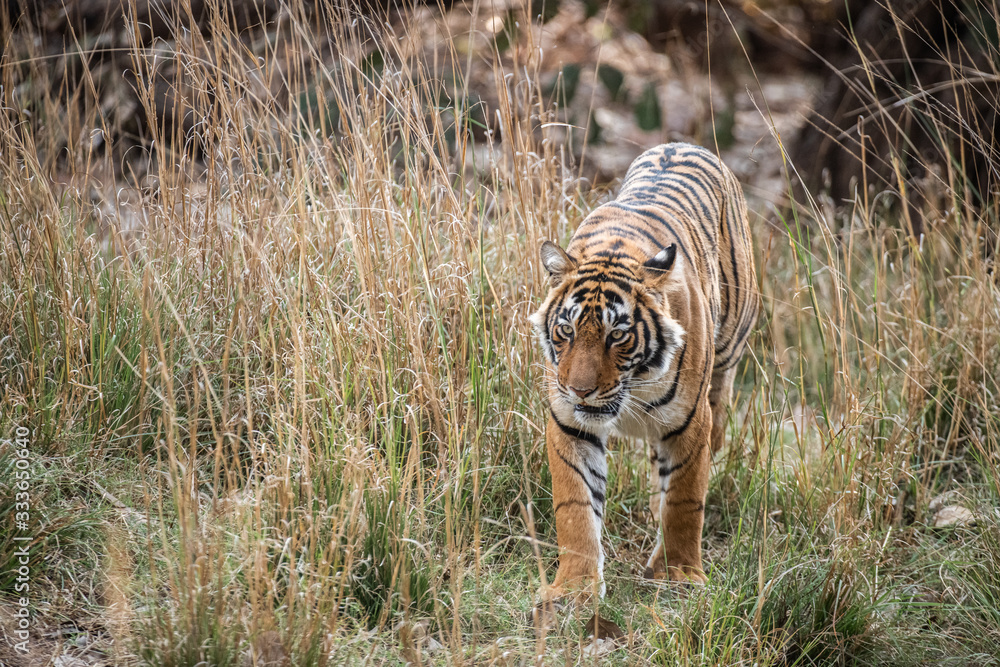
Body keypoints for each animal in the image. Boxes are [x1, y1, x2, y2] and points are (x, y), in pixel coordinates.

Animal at [530, 143, 758, 603]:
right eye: (566, 330)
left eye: (617, 335)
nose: (579, 390)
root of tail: (685, 144)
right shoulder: (568, 424)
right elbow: (574, 505)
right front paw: (574, 586)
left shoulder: (691, 420)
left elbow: (686, 500)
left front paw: (680, 573)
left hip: (728, 353)